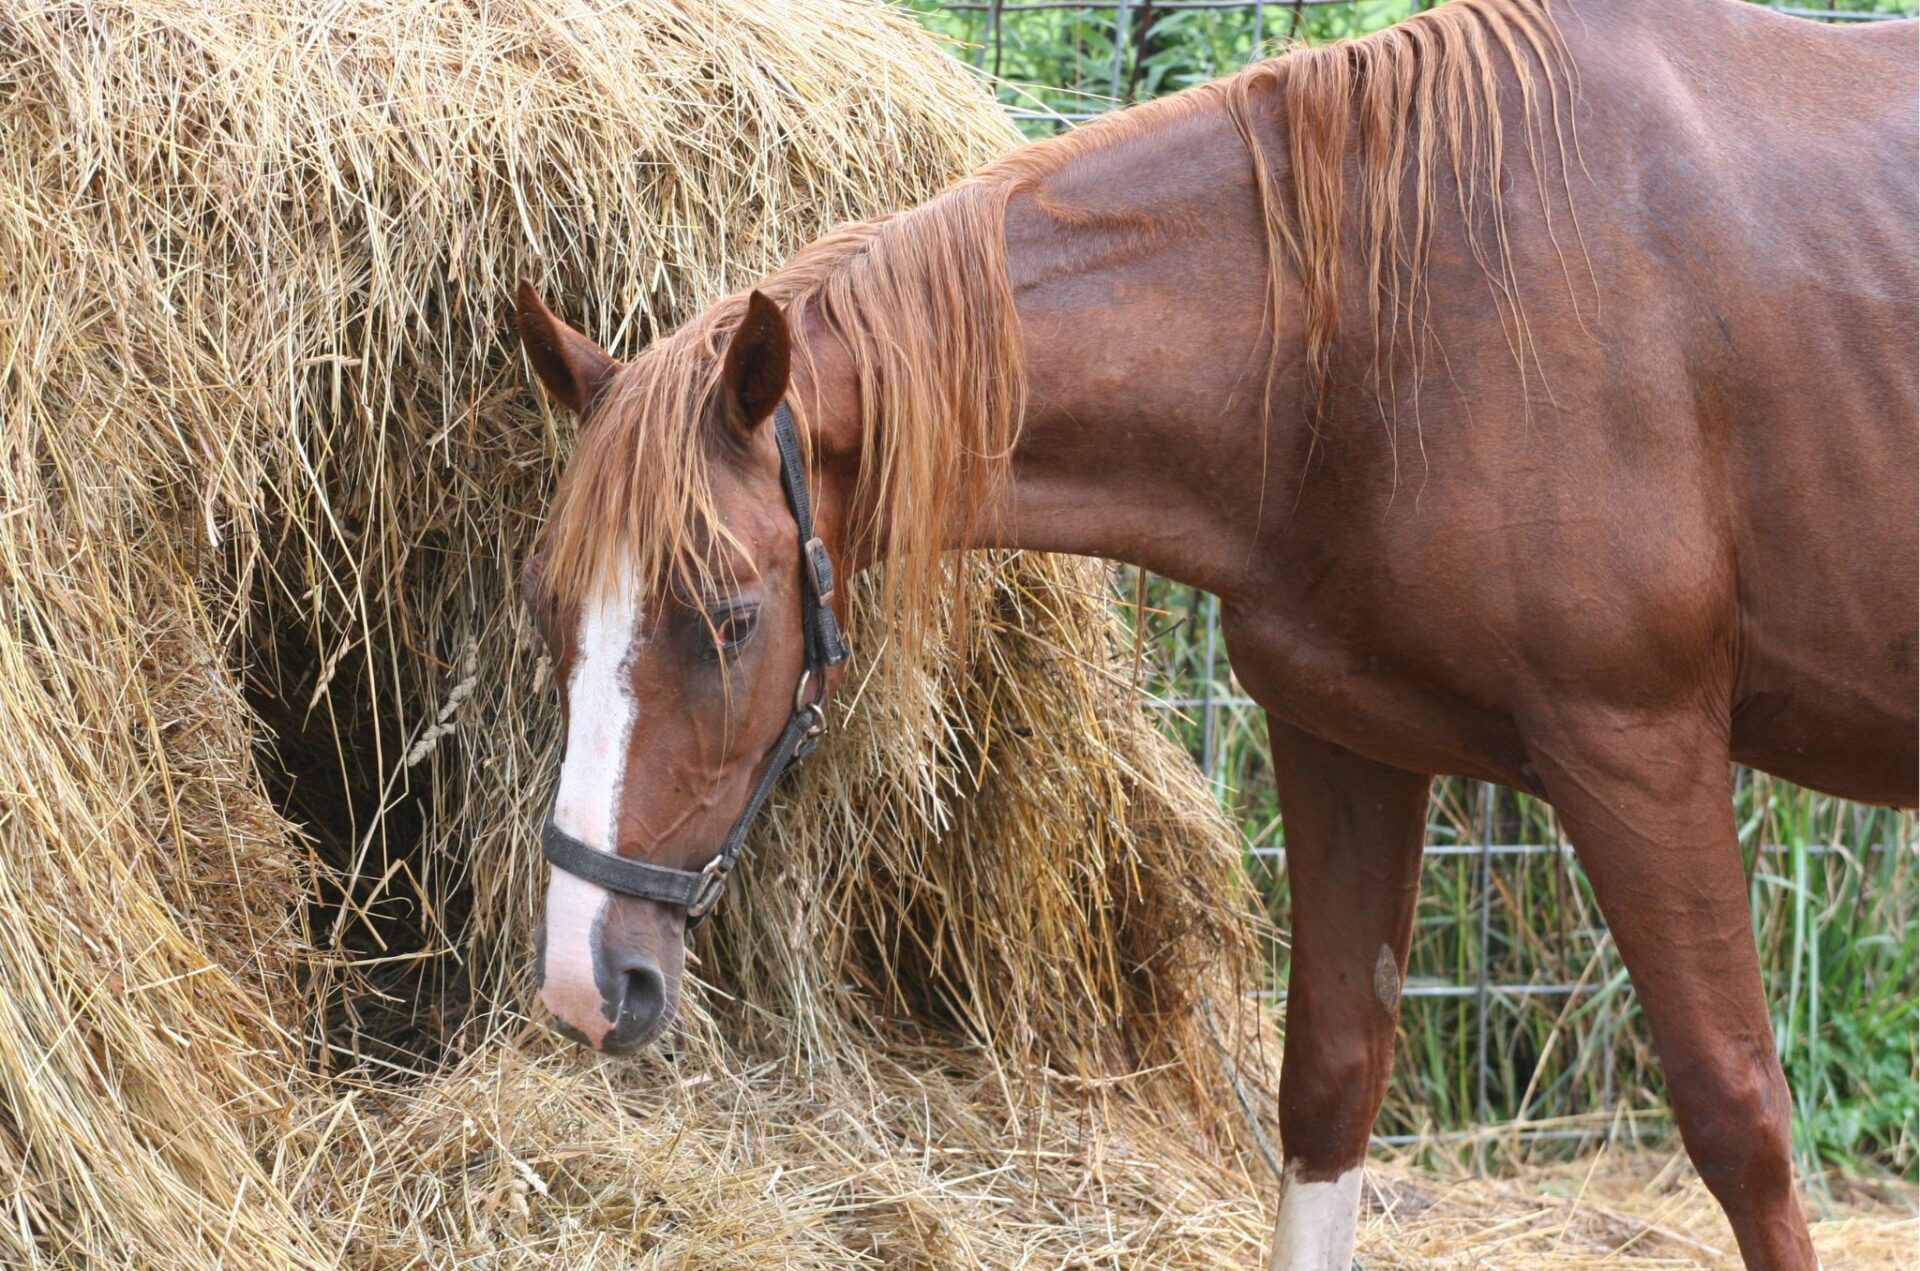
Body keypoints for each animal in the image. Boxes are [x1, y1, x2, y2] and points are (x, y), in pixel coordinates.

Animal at [512, 0, 1918, 1265]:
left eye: (730, 617)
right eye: (550, 609)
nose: (586, 978)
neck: (1391, 322)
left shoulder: (1640, 752)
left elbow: (1740, 1115)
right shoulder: (1348, 743)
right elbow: (1328, 1091)